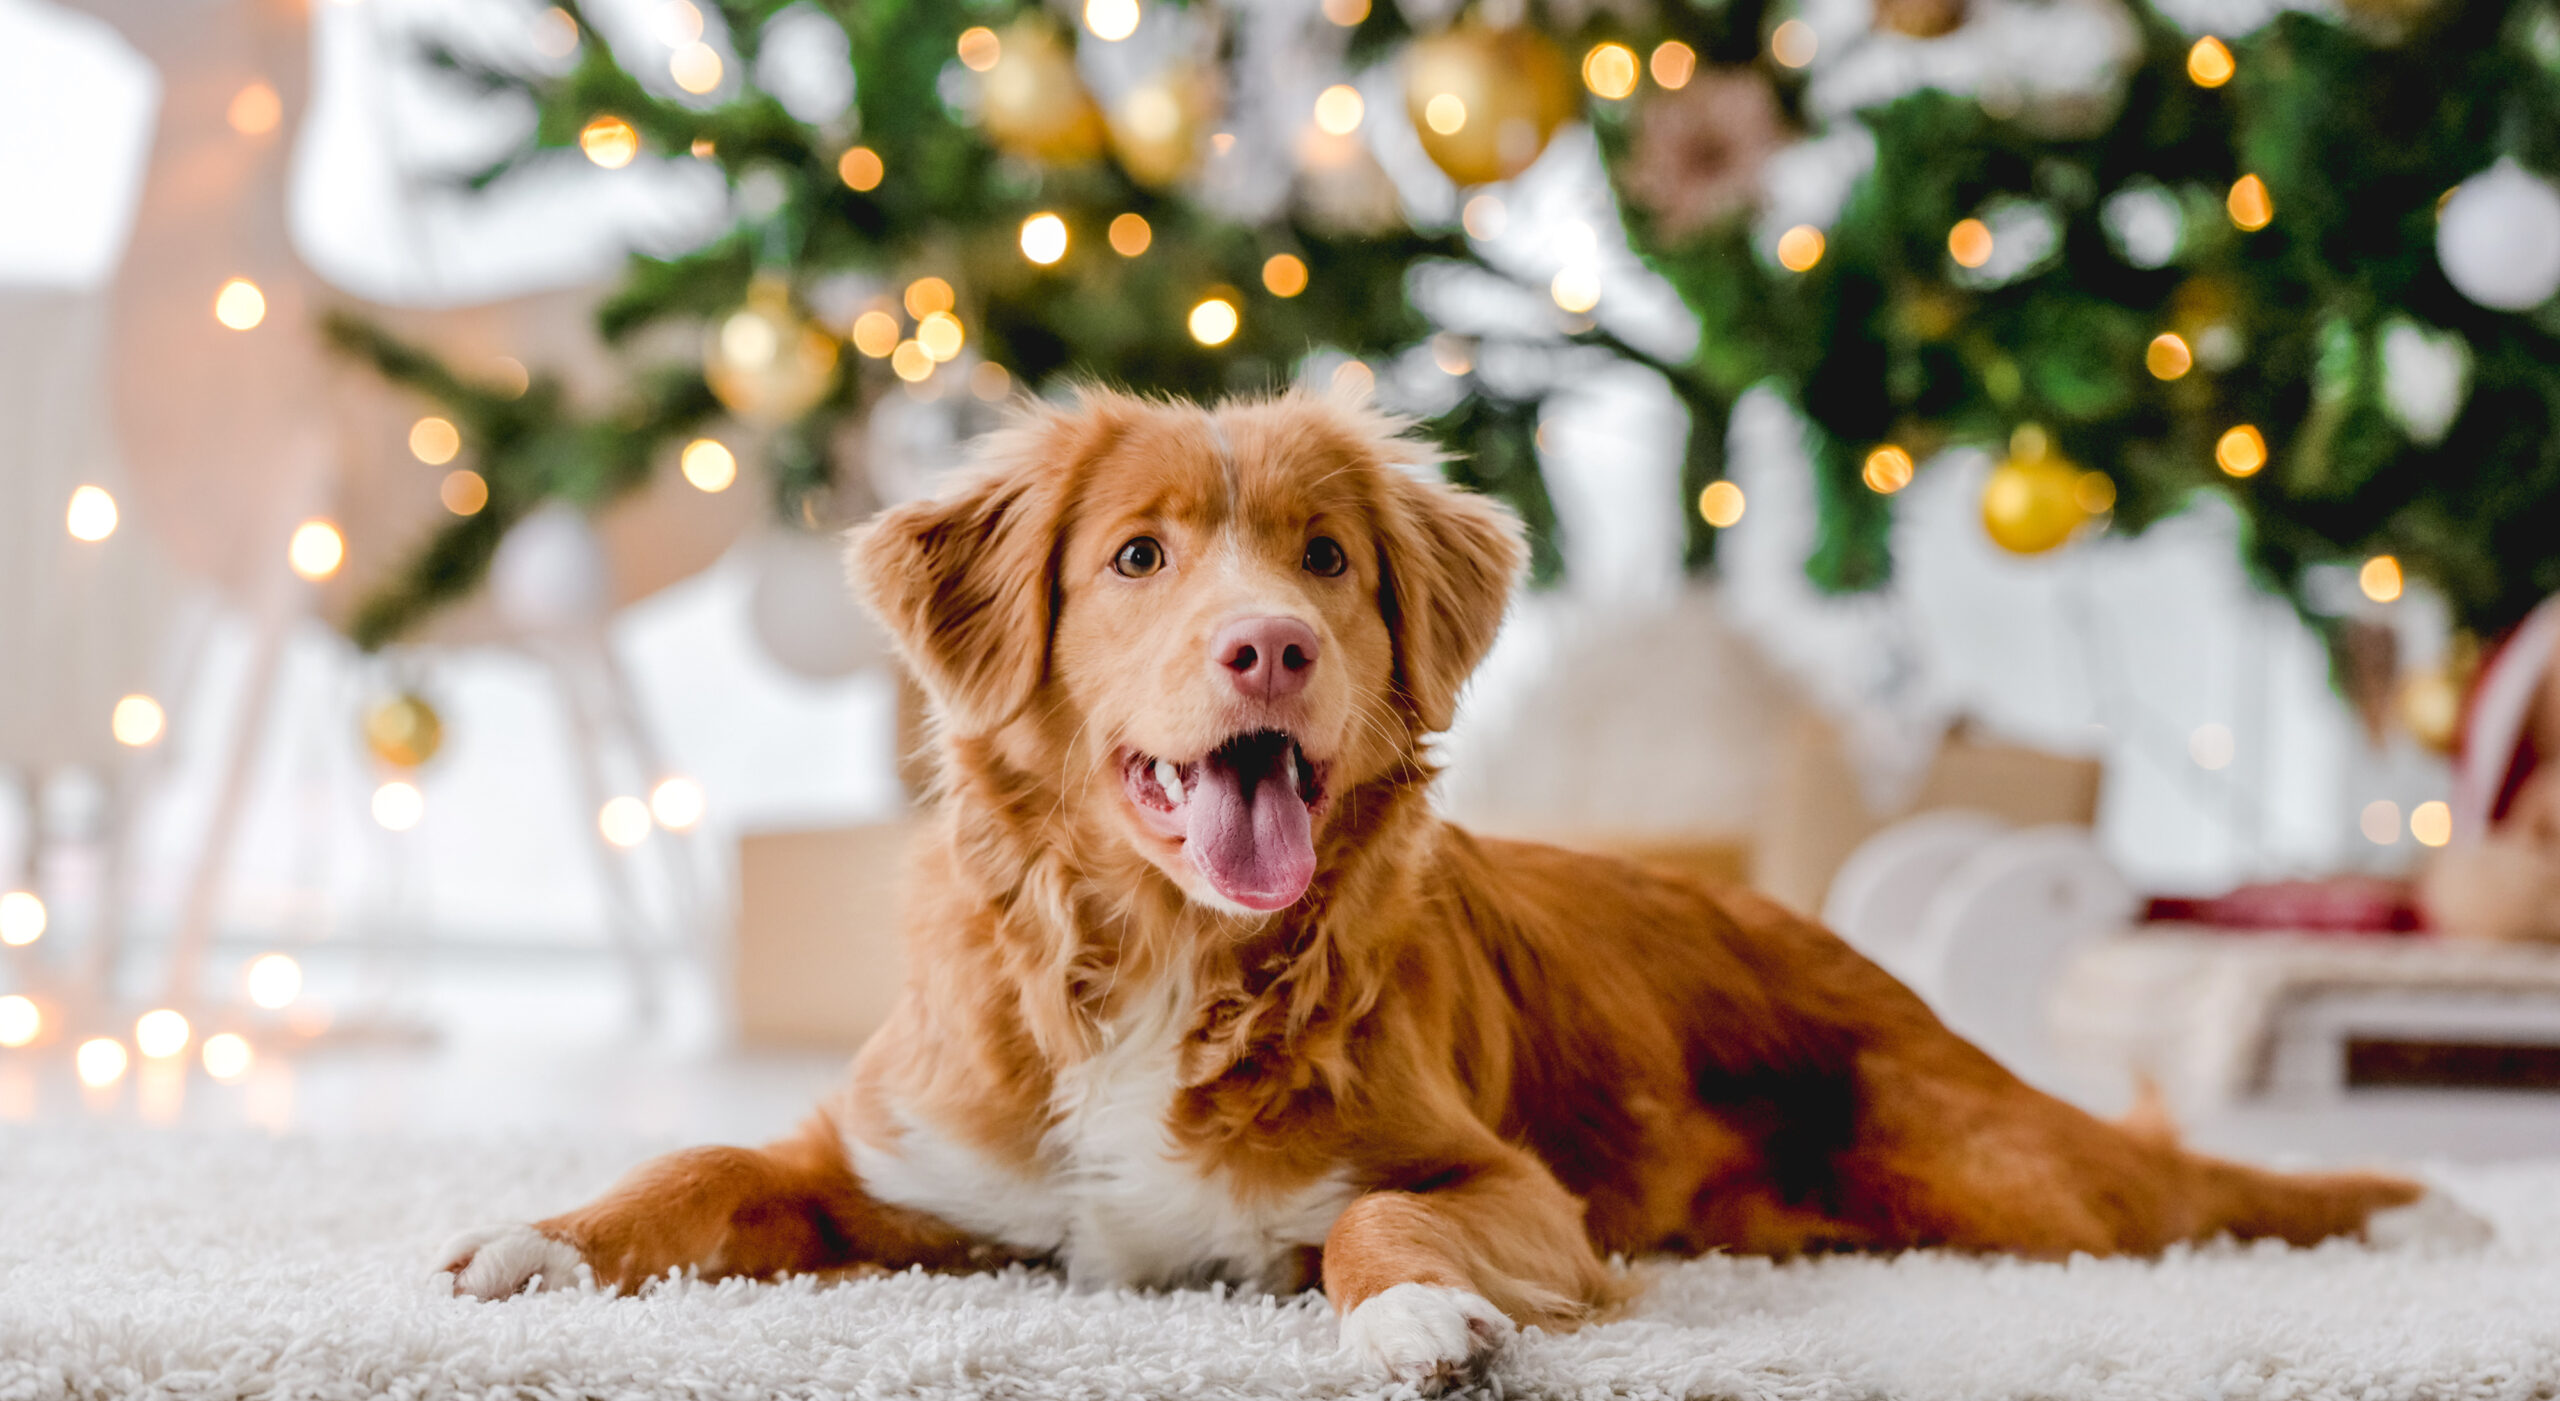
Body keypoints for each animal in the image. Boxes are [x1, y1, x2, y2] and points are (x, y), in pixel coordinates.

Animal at [445, 389, 2457, 1383]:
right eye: (1140, 557)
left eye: (1325, 557)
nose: (1267, 647)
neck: (1162, 959)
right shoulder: (890, 1170)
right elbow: (705, 1160)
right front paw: (543, 1239)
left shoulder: (1507, 1183)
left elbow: (1372, 1226)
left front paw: (1416, 1319)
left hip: (2020, 1180)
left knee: (2190, 1188)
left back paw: (2404, 1208)